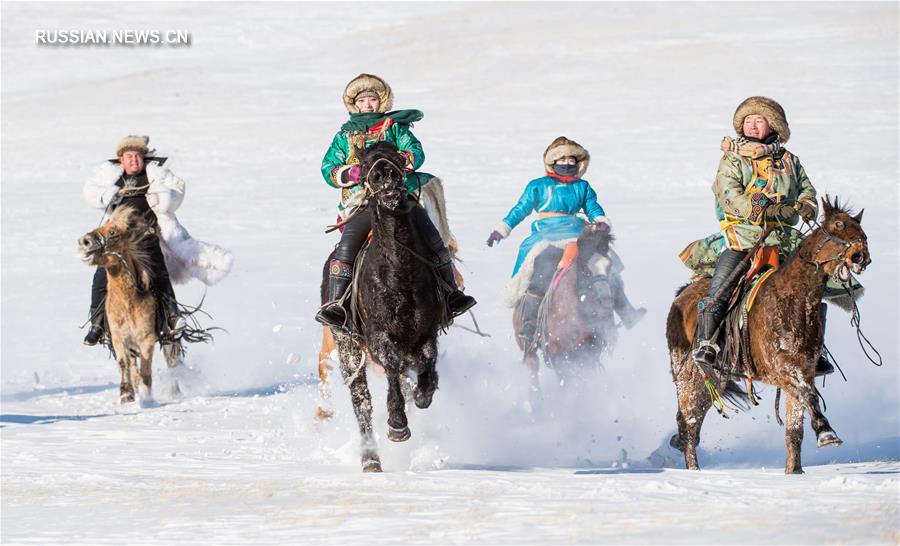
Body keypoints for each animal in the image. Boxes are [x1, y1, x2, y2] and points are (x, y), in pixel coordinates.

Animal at [78, 206, 184, 402]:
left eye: (112, 232)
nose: (84, 242)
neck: (128, 304)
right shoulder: (119, 339)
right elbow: (125, 364)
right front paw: (127, 394)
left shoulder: (147, 339)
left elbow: (146, 370)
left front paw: (146, 396)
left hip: (169, 338)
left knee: (172, 360)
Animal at [322, 140, 444, 472]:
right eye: (364, 166)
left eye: (397, 158)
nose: (384, 175)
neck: (399, 273)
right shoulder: (378, 338)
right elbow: (391, 366)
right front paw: (397, 424)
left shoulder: (425, 333)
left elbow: (427, 361)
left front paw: (424, 392)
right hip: (348, 347)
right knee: (361, 401)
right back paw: (370, 460)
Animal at [512, 222, 620, 392]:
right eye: (584, 267)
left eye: (609, 265)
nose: (605, 301)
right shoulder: (558, 354)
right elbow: (565, 379)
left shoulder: (590, 350)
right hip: (526, 343)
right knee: (532, 365)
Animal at [668, 197, 872, 472]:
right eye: (838, 225)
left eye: (860, 228)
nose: (861, 256)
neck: (794, 300)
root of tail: (683, 294)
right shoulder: (783, 371)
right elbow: (809, 396)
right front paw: (826, 433)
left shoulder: (805, 370)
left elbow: (795, 429)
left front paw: (795, 471)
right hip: (688, 376)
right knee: (688, 422)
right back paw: (694, 471)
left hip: (716, 378)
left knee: (694, 419)